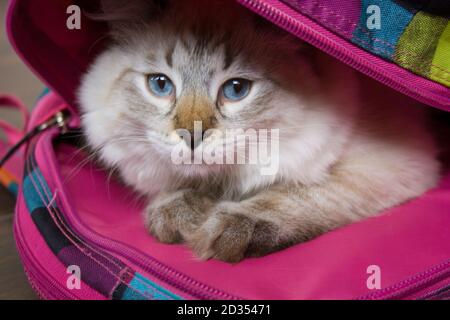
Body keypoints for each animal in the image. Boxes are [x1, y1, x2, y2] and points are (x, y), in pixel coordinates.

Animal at [79, 0, 442, 262]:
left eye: (236, 90)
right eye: (160, 85)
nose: (191, 136)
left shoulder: (389, 165)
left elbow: (296, 194)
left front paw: (225, 229)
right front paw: (178, 213)